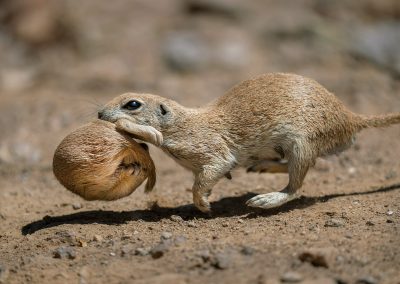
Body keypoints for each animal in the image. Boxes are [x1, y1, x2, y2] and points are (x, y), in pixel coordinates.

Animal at [97, 72, 400, 212]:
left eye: (132, 104)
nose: (99, 114)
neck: (184, 122)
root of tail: (350, 118)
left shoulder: (208, 148)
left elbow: (209, 174)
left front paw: (202, 204)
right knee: (290, 165)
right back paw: (262, 168)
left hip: (302, 143)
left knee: (295, 185)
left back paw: (266, 199)